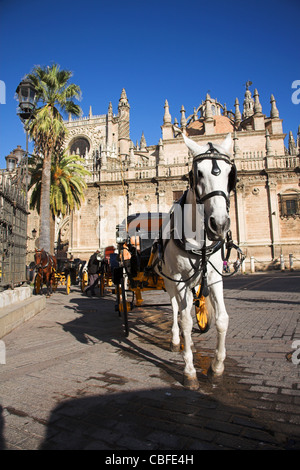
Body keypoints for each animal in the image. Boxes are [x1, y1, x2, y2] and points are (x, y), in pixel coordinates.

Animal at [154, 129, 236, 390]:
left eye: (230, 173)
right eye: (198, 173)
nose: (219, 224)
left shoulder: (215, 277)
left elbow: (222, 319)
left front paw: (217, 367)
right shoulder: (179, 279)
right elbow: (185, 321)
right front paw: (189, 370)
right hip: (170, 281)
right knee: (175, 309)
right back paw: (175, 340)